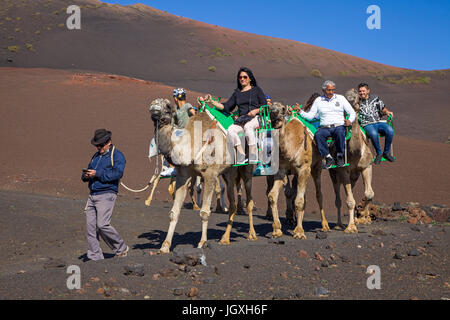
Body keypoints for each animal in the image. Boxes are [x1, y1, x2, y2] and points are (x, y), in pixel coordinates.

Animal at [149, 99, 256, 254]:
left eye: (168, 107)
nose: (154, 106)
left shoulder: (210, 174)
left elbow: (204, 212)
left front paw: (202, 242)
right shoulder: (183, 175)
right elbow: (174, 212)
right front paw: (165, 246)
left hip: (247, 168)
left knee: (249, 201)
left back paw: (252, 234)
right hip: (229, 173)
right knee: (233, 203)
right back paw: (225, 238)